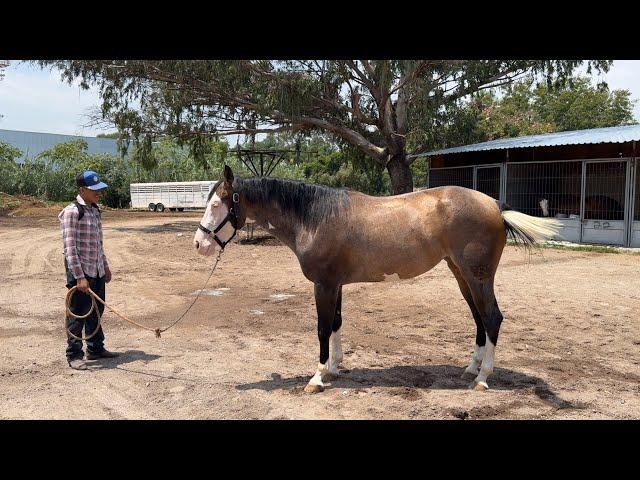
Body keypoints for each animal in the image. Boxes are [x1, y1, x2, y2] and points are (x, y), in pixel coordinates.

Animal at [194, 167, 560, 392]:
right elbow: (337, 323)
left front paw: (317, 377)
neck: (315, 218)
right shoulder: (335, 284)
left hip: (478, 276)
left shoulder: (323, 285)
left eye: (217, 204)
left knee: (492, 317)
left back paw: (483, 379)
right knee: (479, 319)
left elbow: (322, 328)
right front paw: (335, 368)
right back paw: (472, 368)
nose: (199, 244)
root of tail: (495, 206)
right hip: (462, 275)